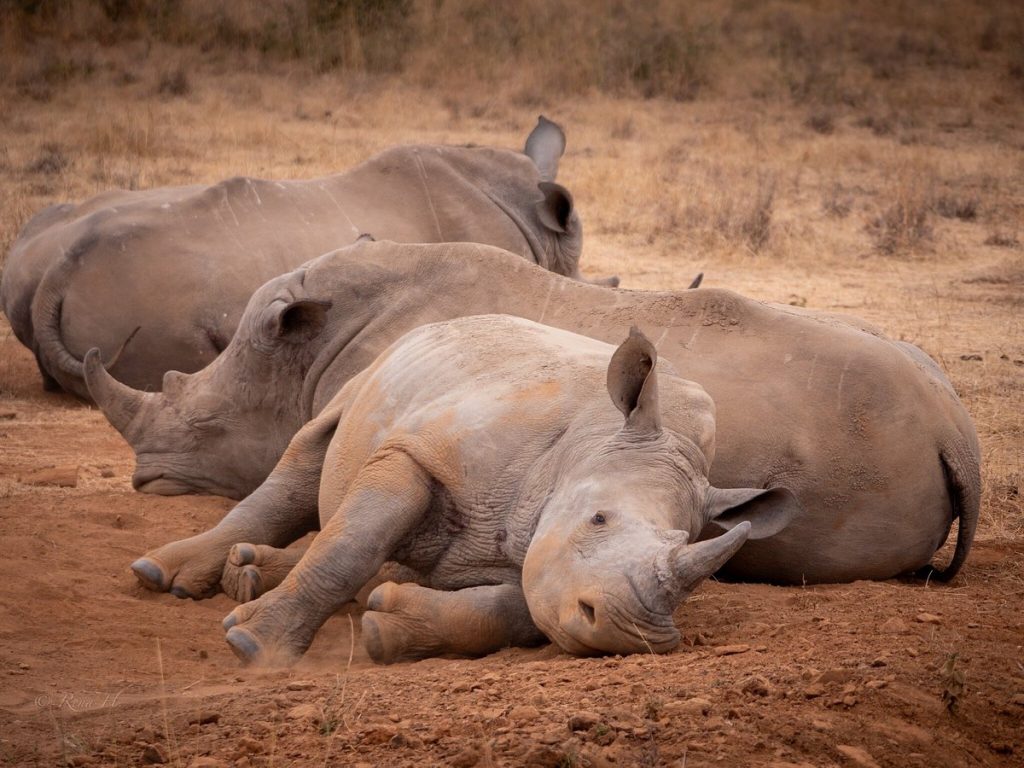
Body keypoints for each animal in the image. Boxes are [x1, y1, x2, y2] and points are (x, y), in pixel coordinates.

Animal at [205, 313, 798, 667]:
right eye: (597, 519)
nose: (631, 635)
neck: (587, 439)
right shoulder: (423, 453)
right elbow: (351, 545)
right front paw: (253, 646)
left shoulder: (538, 561)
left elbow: (517, 608)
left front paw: (387, 627)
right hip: (374, 373)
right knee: (310, 459)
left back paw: (248, 573)